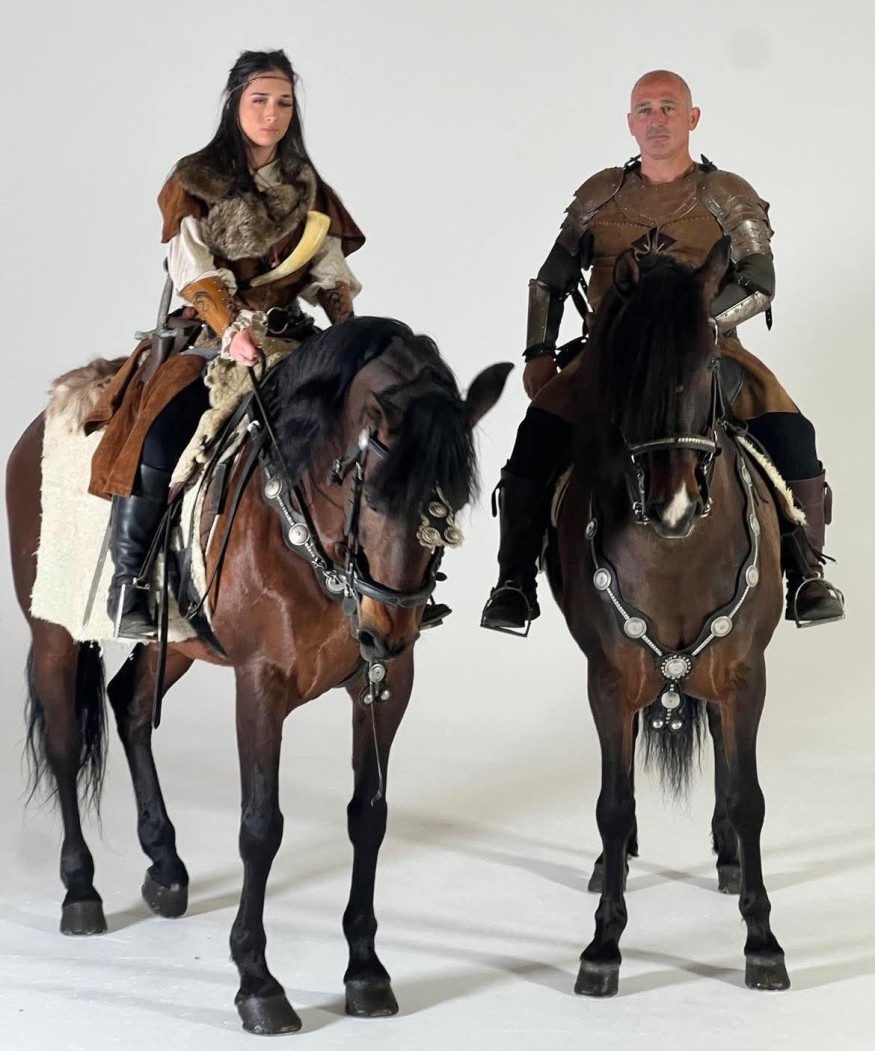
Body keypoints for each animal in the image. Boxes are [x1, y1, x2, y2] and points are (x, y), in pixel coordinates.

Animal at [6, 316, 511, 1034]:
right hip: (51, 631)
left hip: (177, 642)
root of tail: (40, 423)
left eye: (450, 505)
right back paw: (80, 890)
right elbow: (260, 827)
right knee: (64, 744)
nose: (388, 629)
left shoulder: (384, 690)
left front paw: (366, 970)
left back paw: (165, 866)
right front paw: (257, 982)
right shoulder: (261, 687)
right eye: (375, 496)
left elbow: (369, 816)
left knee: (130, 704)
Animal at [547, 240, 791, 996]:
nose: (674, 505)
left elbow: (749, 798)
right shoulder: (609, 680)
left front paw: (762, 940)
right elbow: (612, 802)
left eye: (708, 363)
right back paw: (615, 862)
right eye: (627, 369)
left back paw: (728, 859)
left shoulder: (746, 675)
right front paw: (603, 943)